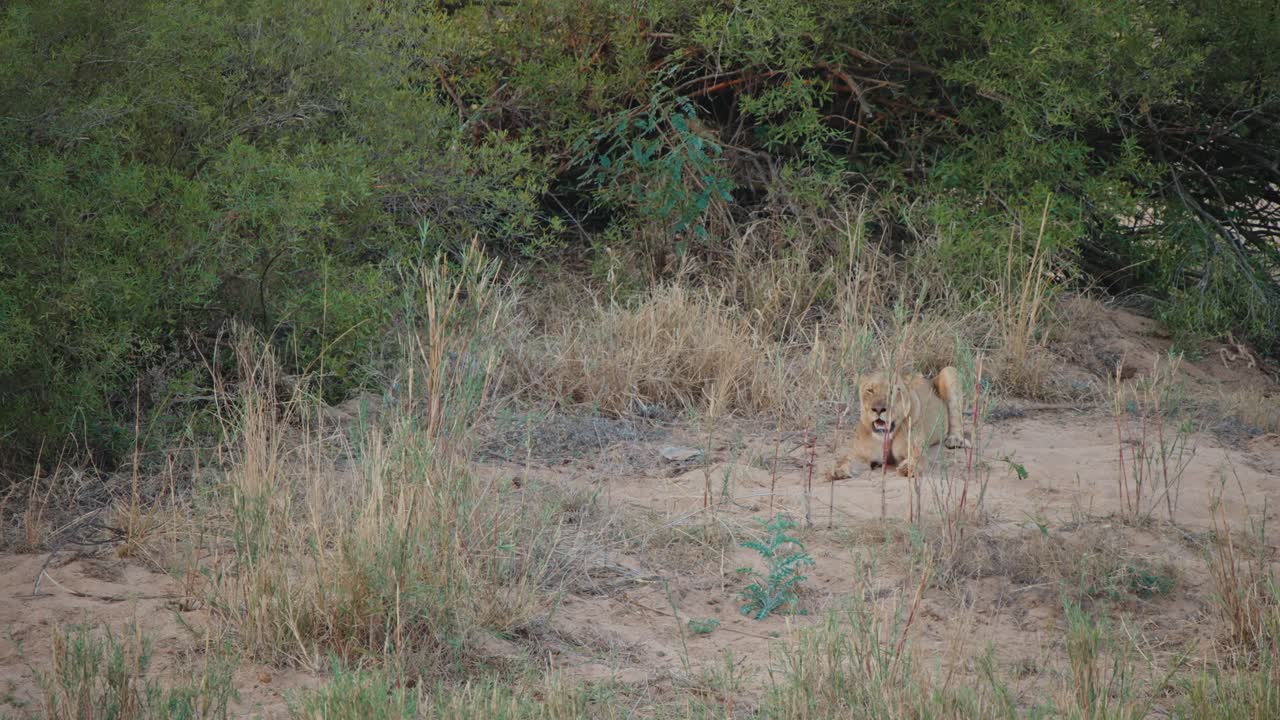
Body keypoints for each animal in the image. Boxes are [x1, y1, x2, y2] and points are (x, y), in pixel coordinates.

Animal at [829, 366, 970, 480]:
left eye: (892, 391)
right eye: (870, 390)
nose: (878, 409)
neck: (887, 436)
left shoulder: (915, 449)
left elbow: (916, 459)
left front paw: (908, 468)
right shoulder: (860, 456)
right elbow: (847, 461)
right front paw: (838, 470)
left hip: (949, 371)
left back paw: (954, 440)